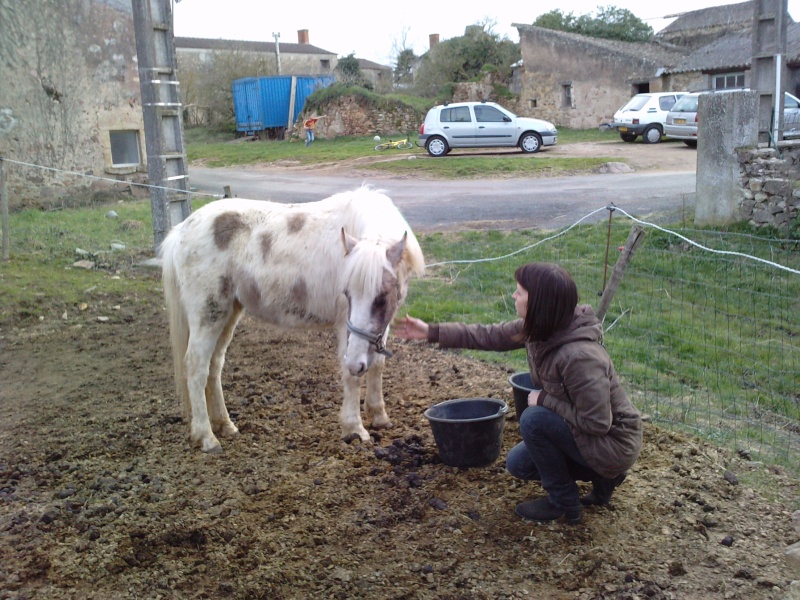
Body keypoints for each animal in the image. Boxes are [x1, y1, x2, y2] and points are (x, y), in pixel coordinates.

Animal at [159, 185, 428, 452]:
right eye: (347, 293)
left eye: (382, 298)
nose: (355, 362)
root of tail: (182, 230)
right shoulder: (347, 325)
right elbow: (351, 375)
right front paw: (355, 428)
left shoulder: (381, 326)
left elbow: (378, 365)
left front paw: (379, 416)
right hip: (208, 315)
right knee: (197, 367)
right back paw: (206, 436)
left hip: (228, 314)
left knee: (214, 366)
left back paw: (225, 425)